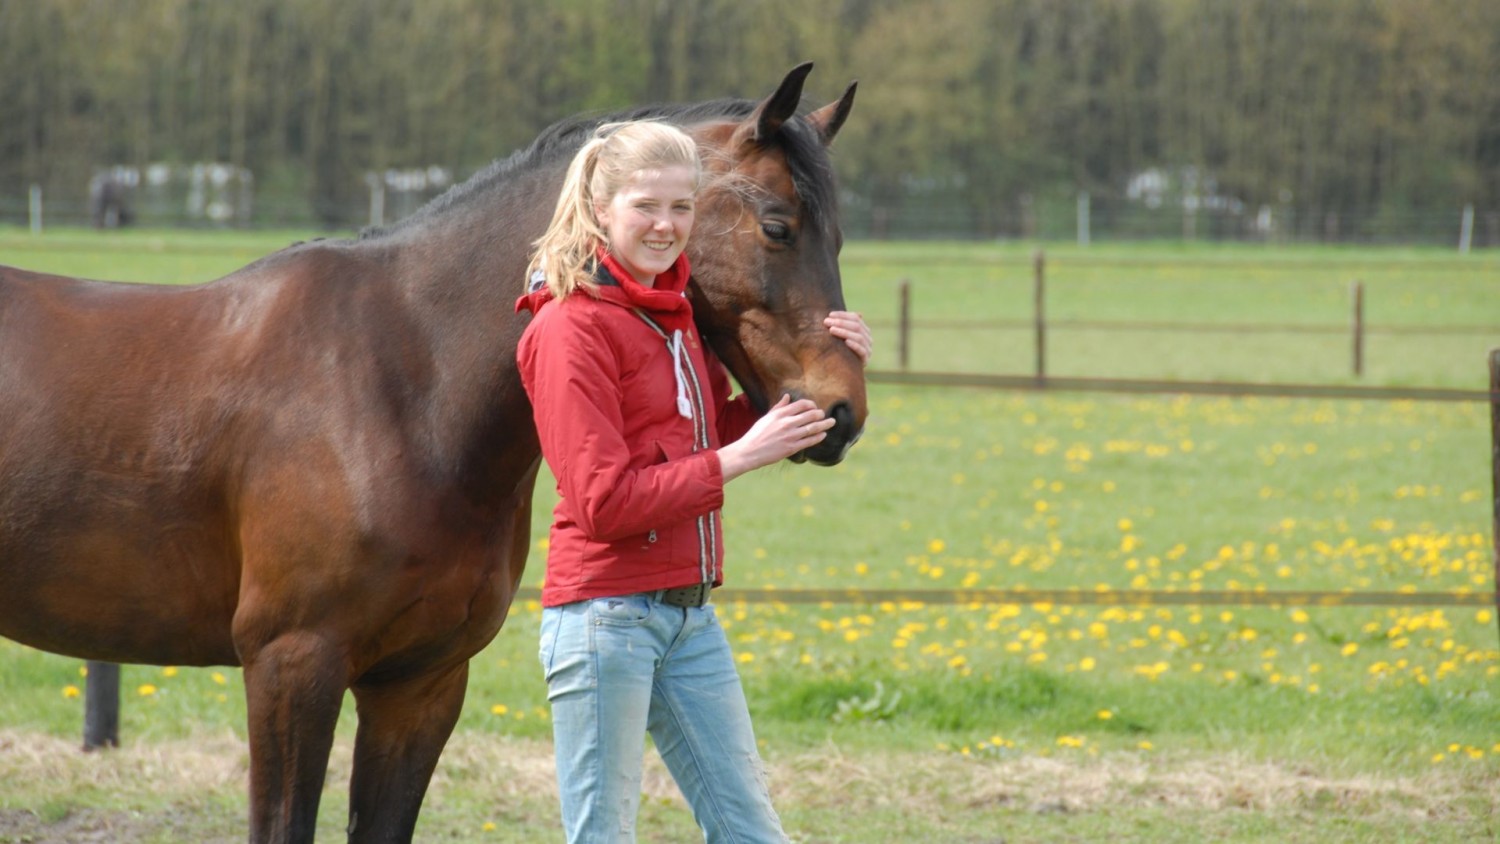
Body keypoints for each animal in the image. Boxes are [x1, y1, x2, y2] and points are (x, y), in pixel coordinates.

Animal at [0, 65, 864, 844]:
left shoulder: (420, 684)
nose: (841, 413)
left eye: (838, 235)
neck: (405, 385)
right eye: (777, 226)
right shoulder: (291, 665)